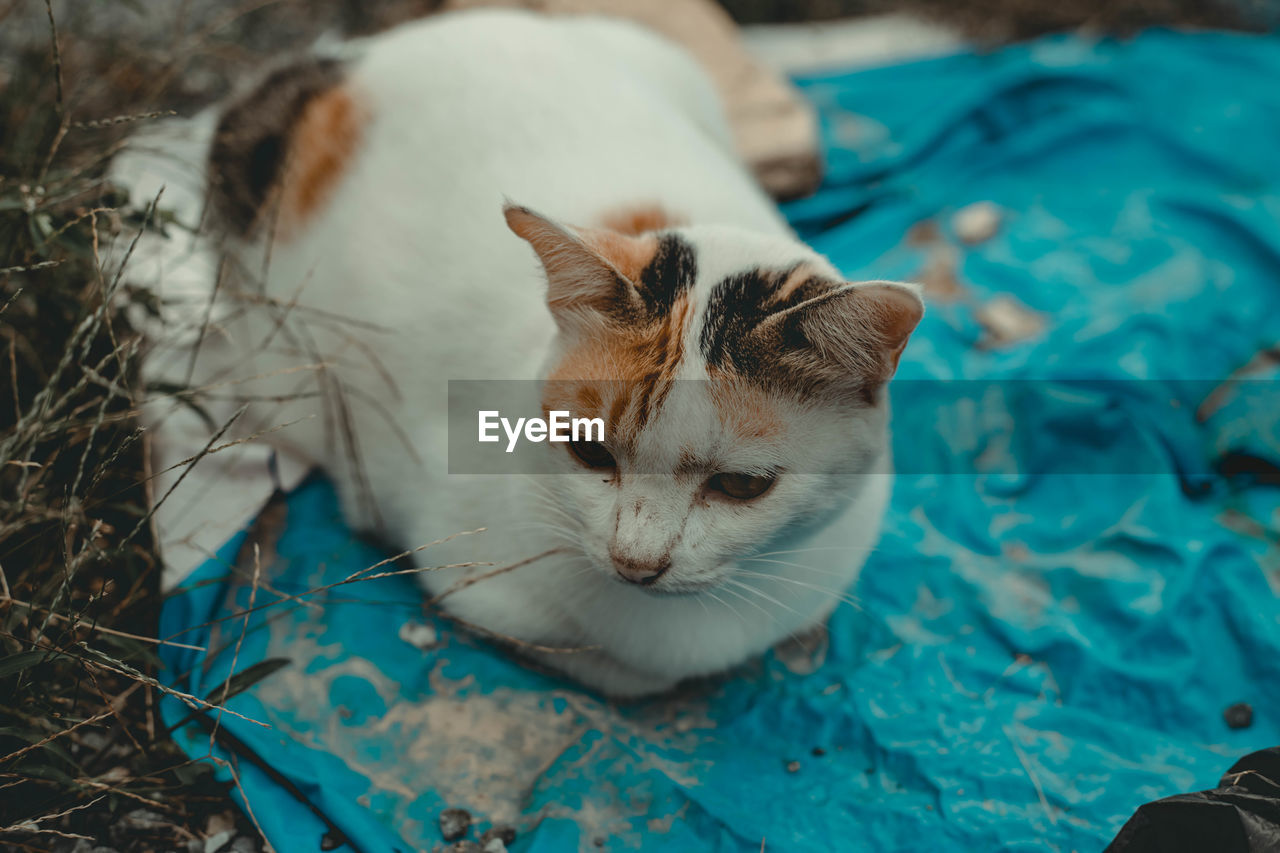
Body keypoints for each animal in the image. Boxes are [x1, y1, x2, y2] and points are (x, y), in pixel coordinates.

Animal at [137, 8, 921, 696]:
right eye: (590, 452)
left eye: (740, 485)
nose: (636, 562)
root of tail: (363, 55)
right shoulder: (465, 574)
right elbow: (626, 672)